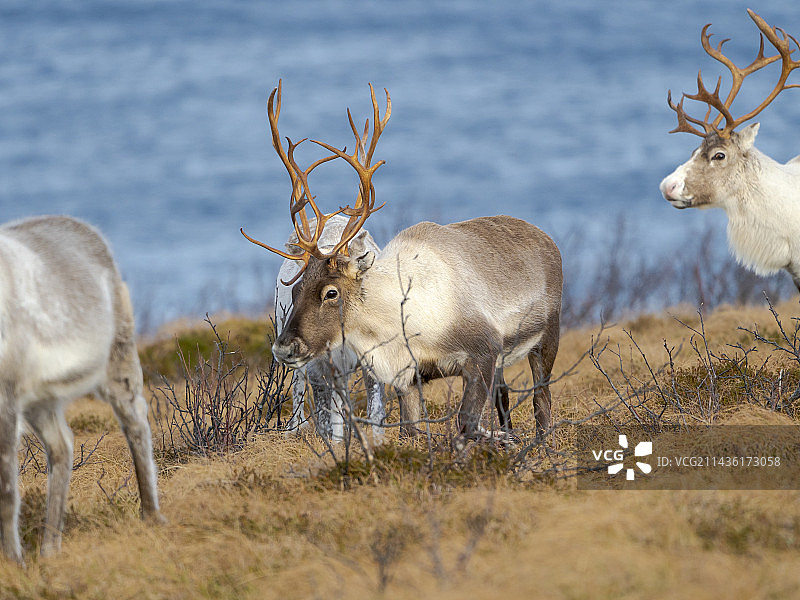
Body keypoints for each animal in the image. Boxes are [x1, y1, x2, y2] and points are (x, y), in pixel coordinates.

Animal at [0, 215, 163, 564]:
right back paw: (50, 547)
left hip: (118, 361)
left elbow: (6, 490)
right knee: (62, 445)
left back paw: (152, 515)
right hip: (40, 401)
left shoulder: (6, 398)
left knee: (137, 423)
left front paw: (13, 563)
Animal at [275, 214, 385, 441]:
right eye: (296, 291)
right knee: (298, 386)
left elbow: (375, 412)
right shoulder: (316, 364)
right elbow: (323, 417)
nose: (282, 348)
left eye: (331, 293)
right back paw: (294, 428)